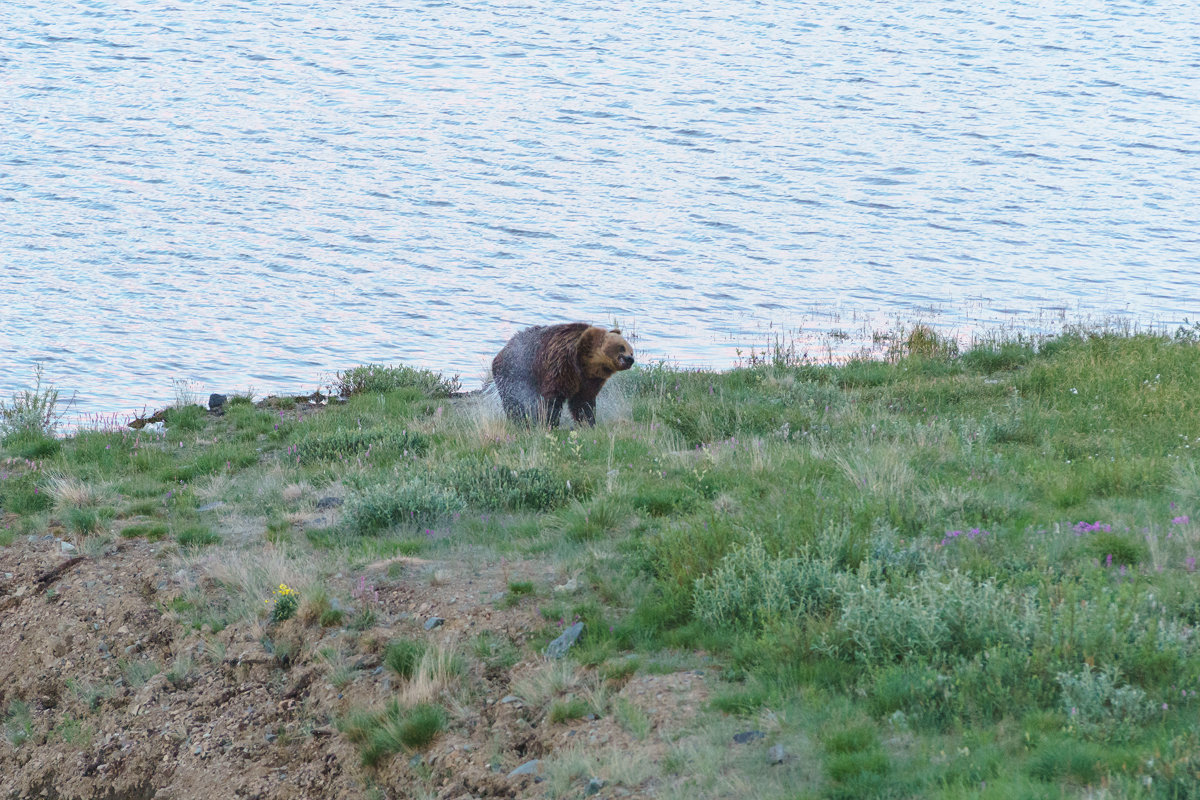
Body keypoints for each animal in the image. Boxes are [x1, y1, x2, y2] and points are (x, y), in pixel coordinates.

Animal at [489, 323, 638, 429]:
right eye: (622, 347)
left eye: (631, 351)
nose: (630, 359)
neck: (583, 363)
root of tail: (500, 353)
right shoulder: (561, 366)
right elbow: (552, 399)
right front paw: (550, 422)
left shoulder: (589, 380)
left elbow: (583, 402)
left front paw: (588, 423)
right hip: (514, 374)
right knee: (515, 401)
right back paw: (521, 421)